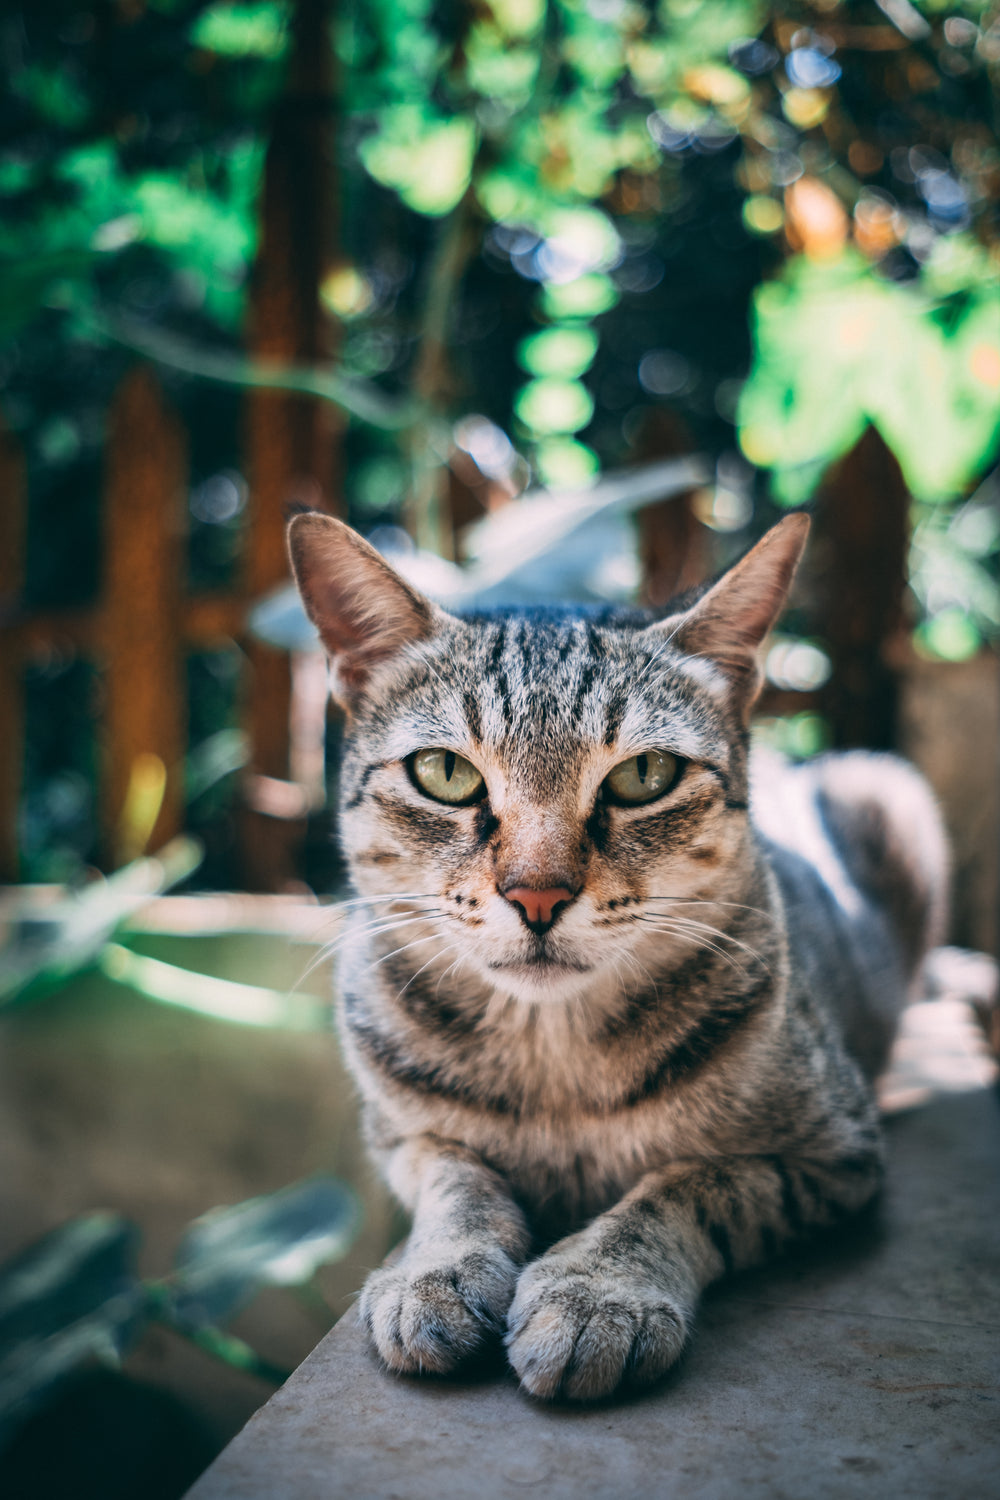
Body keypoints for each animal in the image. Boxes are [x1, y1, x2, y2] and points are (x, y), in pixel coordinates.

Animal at [284, 510, 941, 1398]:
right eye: (445, 772)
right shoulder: (402, 1139)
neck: (554, 1064)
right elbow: (458, 1184)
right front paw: (438, 1268)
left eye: (645, 775)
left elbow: (686, 1186)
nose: (537, 895)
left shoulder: (831, 1152)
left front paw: (598, 1288)